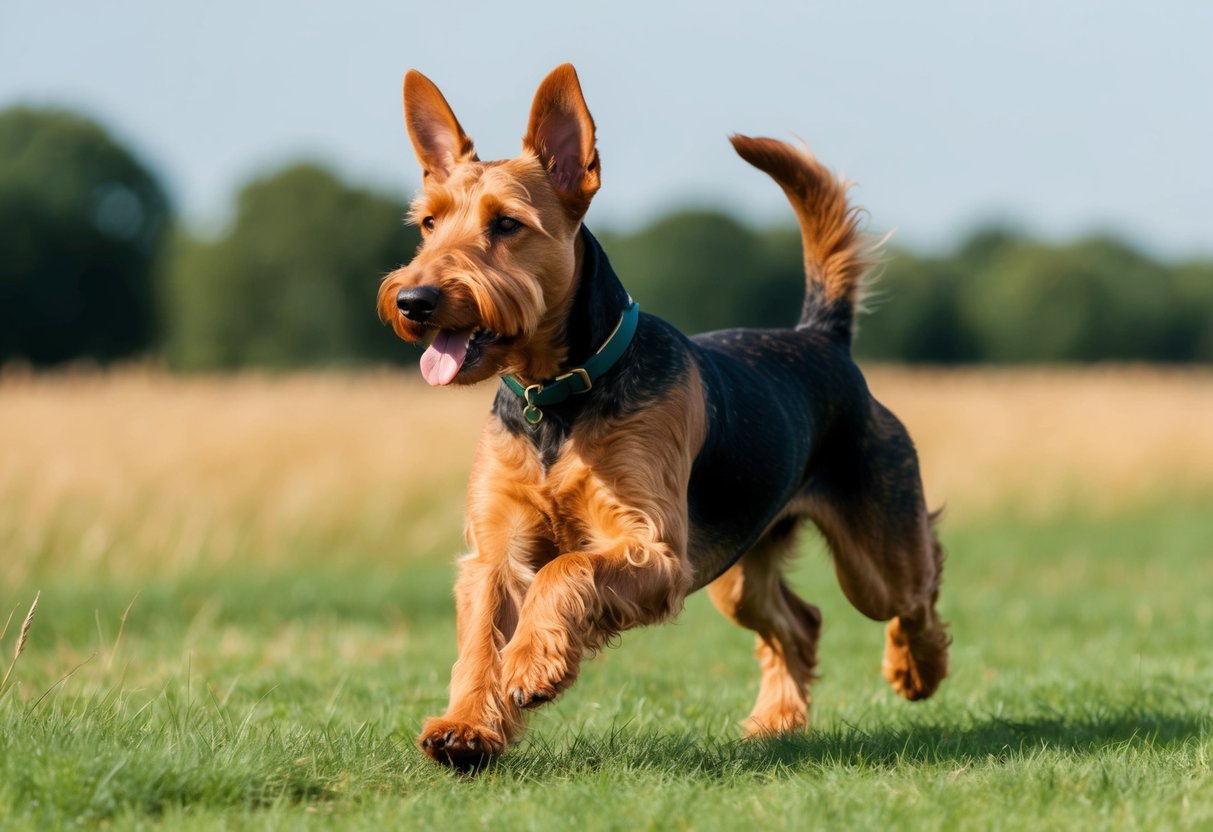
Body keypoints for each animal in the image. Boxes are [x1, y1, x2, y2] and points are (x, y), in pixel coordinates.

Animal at [376, 61, 946, 771]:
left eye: (506, 224)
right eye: (428, 223)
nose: (413, 299)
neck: (556, 399)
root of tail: (821, 337)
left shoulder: (651, 544)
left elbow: (564, 573)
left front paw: (532, 665)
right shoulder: (495, 550)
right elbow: (481, 639)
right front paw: (467, 728)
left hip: (874, 559)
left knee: (920, 585)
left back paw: (917, 668)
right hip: (739, 566)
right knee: (799, 622)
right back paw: (778, 720)